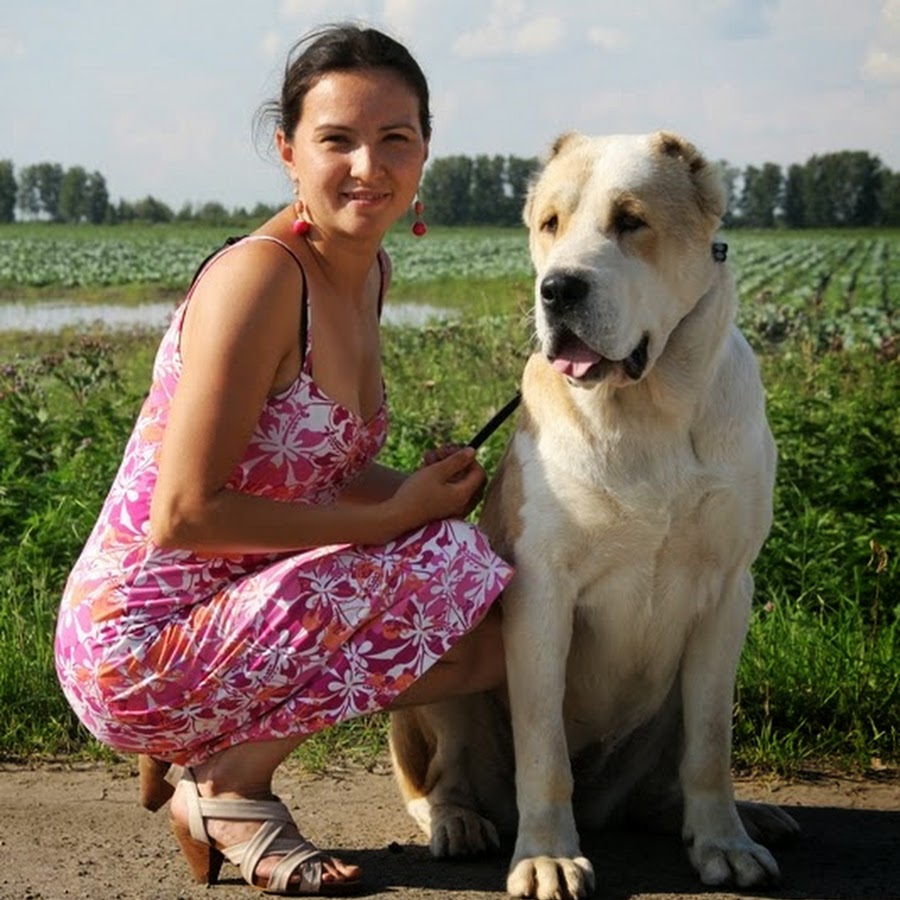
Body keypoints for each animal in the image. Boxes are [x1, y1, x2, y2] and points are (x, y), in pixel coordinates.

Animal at [390, 130, 800, 899]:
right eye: (549, 224)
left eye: (631, 221)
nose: (559, 289)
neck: (651, 410)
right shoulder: (541, 592)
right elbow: (543, 745)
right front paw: (548, 856)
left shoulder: (728, 590)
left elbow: (711, 742)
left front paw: (725, 842)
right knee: (440, 778)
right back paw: (457, 822)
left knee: (671, 773)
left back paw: (739, 816)